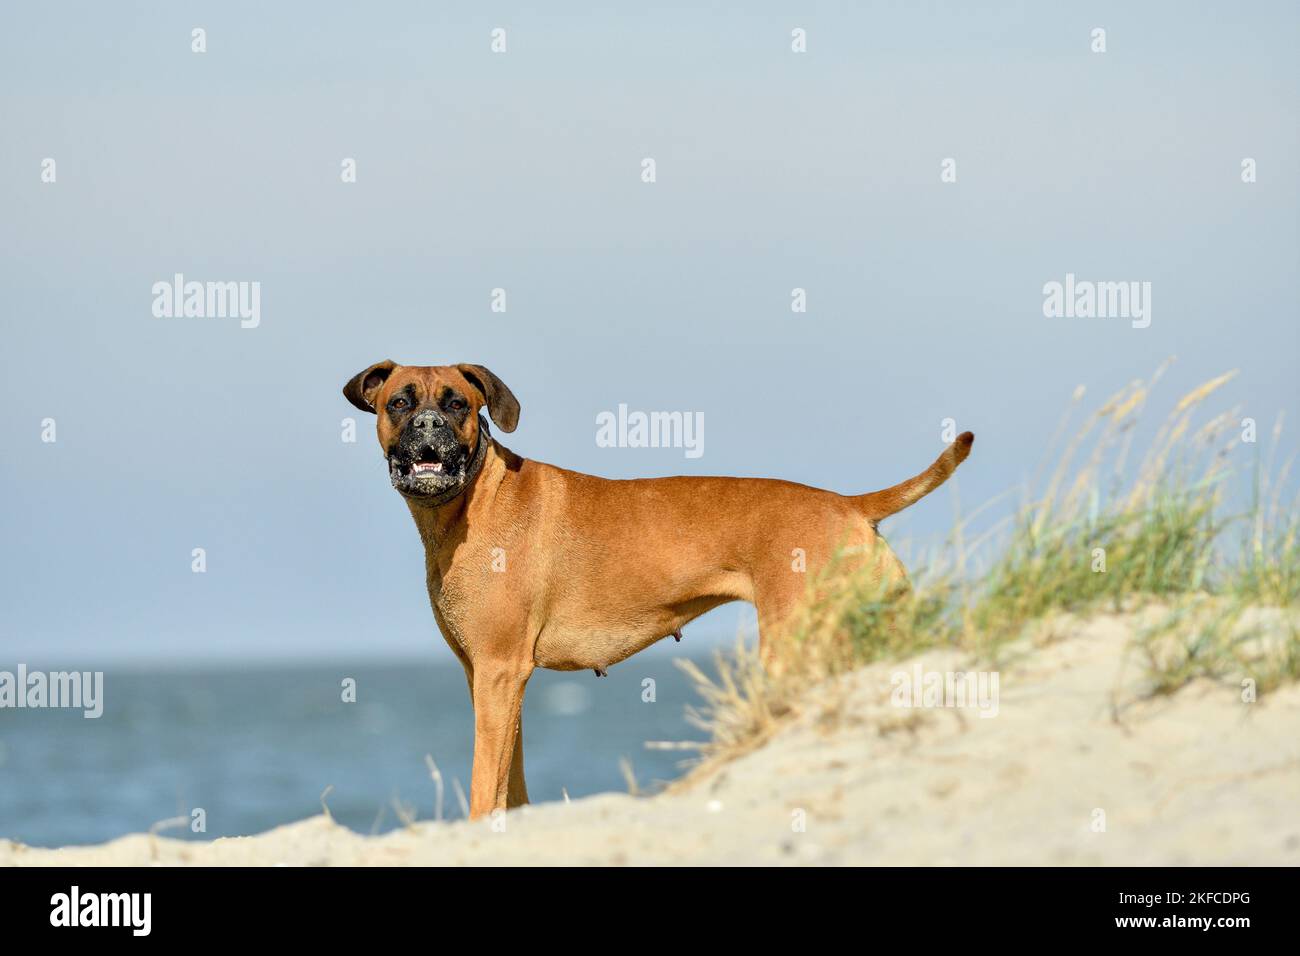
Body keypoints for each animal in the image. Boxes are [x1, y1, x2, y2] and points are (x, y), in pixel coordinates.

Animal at [340, 361, 972, 816]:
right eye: (400, 402)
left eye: (456, 404)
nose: (428, 427)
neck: (471, 500)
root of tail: (849, 505)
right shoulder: (488, 677)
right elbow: (508, 781)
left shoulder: (499, 671)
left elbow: (482, 780)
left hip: (796, 647)